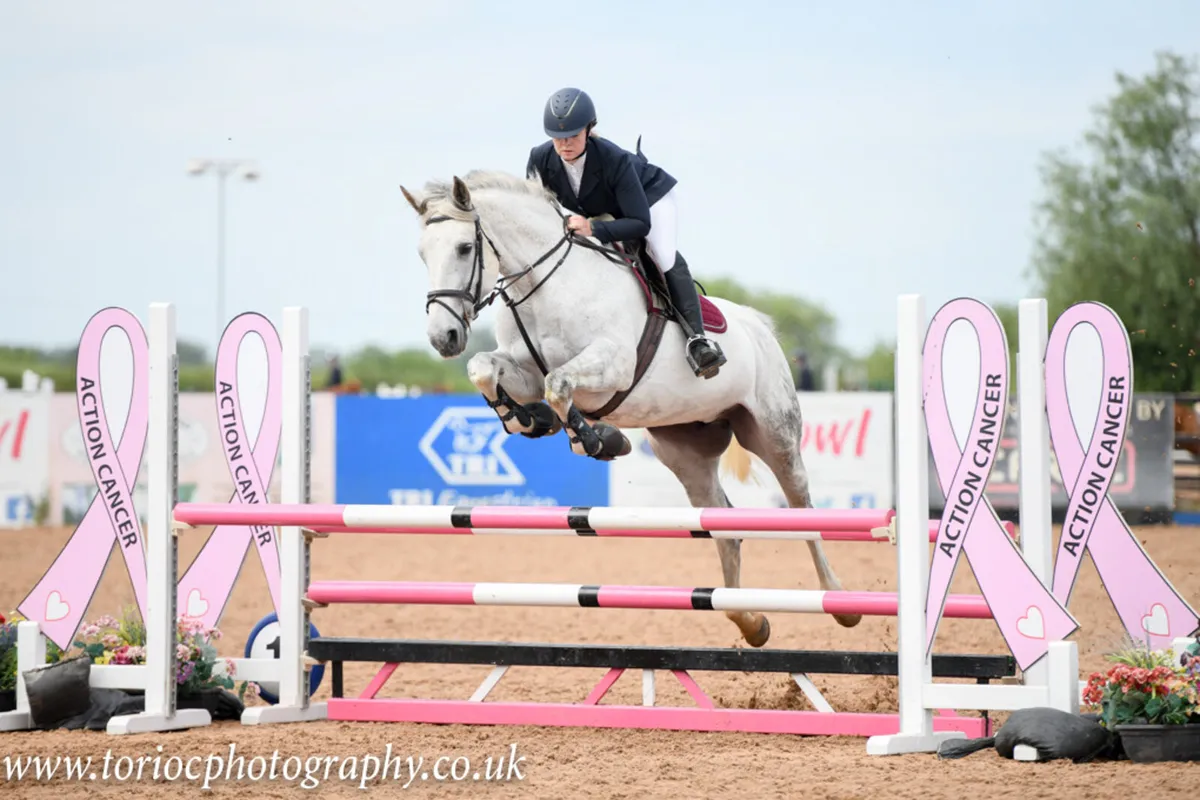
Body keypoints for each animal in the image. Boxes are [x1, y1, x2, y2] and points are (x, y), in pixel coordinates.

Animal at [397, 169, 862, 647]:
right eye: (422, 254)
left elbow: (558, 384)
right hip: (684, 451)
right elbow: (484, 370)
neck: (543, 286)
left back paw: (840, 604)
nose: (444, 337)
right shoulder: (522, 371)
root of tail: (760, 326)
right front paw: (526, 420)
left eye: (464, 247)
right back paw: (750, 621)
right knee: (724, 527)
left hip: (773, 433)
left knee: (802, 508)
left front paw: (598, 440)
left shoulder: (612, 366)